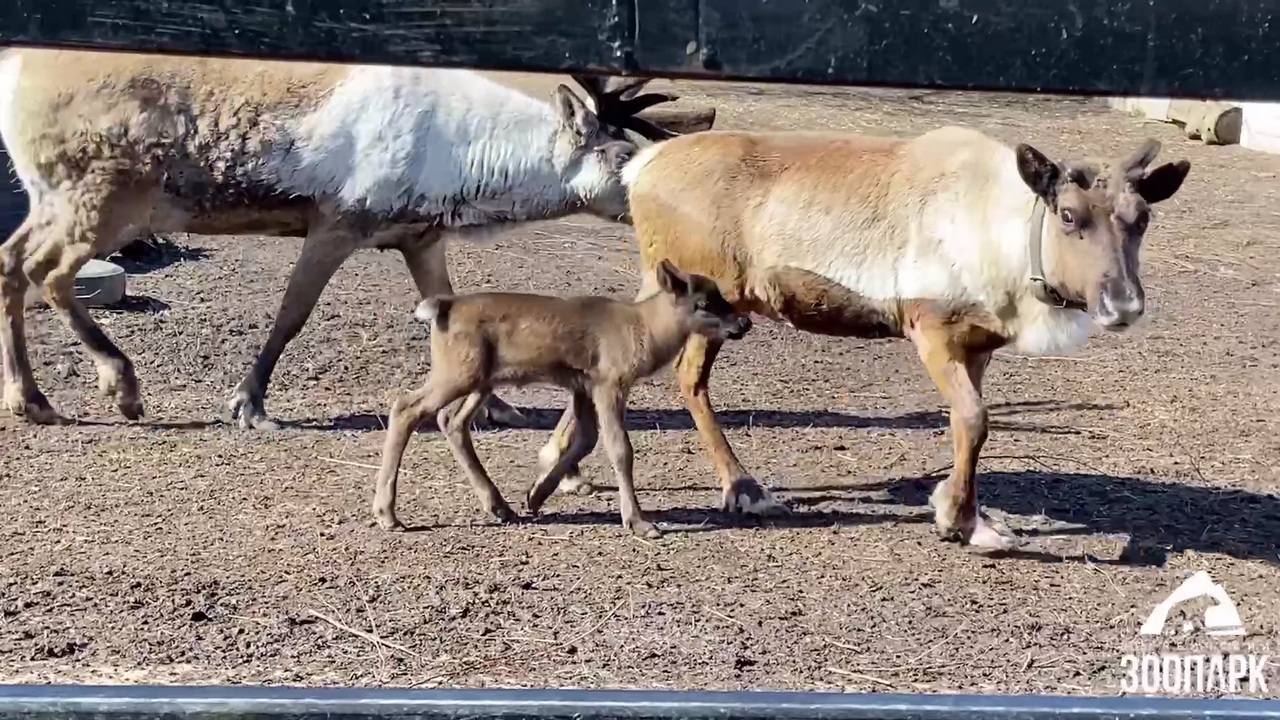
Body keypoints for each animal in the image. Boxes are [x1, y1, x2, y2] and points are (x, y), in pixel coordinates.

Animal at [371, 260, 747, 535]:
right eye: (702, 303)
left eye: (722, 294)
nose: (742, 323)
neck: (645, 330)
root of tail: (442, 308)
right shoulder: (609, 383)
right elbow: (619, 448)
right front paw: (639, 522)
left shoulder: (583, 385)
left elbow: (586, 439)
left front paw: (535, 496)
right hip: (458, 372)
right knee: (406, 407)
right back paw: (387, 514)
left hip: (482, 379)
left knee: (452, 420)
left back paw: (500, 506)